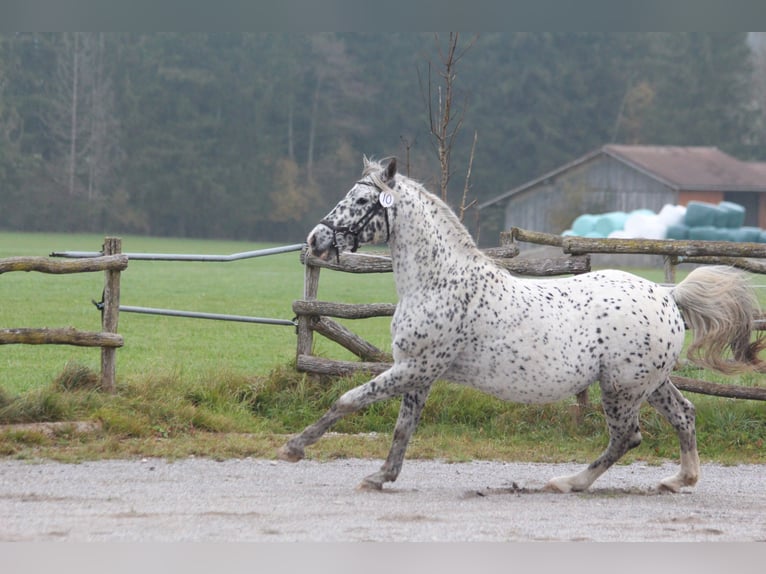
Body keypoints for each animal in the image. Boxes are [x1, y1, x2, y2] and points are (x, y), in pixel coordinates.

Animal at [280, 158, 764, 496]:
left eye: (362, 201)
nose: (315, 240)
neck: (440, 282)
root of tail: (668, 295)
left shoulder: (415, 367)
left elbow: (348, 400)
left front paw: (294, 448)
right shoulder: (419, 373)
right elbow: (403, 428)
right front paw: (381, 476)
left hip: (622, 388)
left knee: (627, 437)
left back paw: (568, 483)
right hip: (650, 382)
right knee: (684, 414)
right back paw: (678, 481)